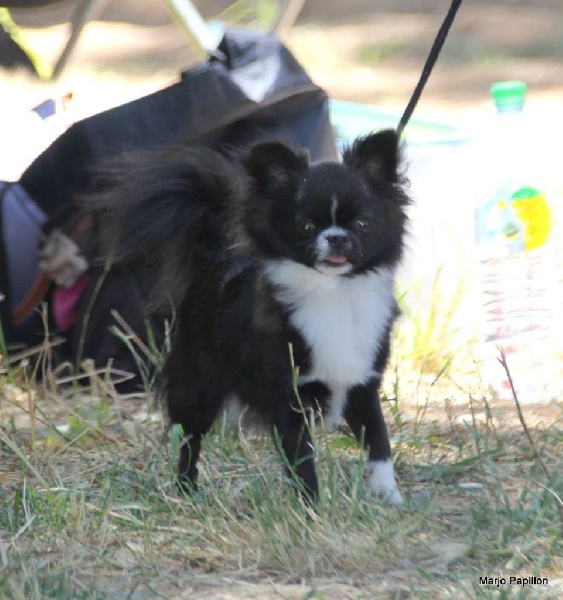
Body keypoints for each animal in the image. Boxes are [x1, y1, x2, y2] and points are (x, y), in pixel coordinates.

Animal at [98, 130, 410, 502]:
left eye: (362, 224)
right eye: (305, 226)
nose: (335, 237)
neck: (332, 292)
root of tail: (213, 259)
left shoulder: (362, 385)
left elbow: (379, 444)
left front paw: (388, 496)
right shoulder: (289, 400)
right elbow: (302, 459)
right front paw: (312, 506)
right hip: (198, 384)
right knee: (190, 439)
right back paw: (186, 489)